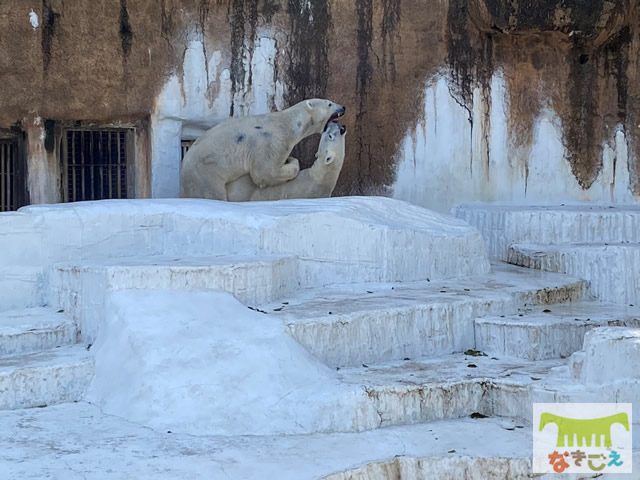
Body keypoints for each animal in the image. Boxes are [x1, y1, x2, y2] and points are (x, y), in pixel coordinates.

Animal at [180, 99, 344, 201]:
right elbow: (263, 173)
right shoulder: (271, 142)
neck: (287, 123)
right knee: (212, 192)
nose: (343, 107)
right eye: (329, 103)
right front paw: (292, 163)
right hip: (205, 173)